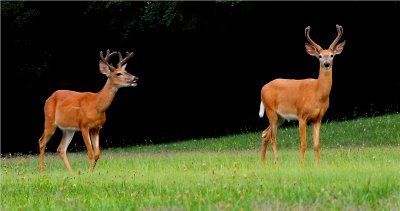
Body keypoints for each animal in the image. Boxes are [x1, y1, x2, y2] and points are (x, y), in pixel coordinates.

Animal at [258, 24, 346, 166]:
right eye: (320, 56)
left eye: (332, 55)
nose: (327, 64)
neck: (317, 93)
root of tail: (263, 88)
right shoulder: (302, 115)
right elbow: (303, 144)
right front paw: (302, 164)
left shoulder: (318, 118)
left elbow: (316, 144)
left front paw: (317, 165)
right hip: (270, 111)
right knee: (272, 137)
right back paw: (277, 162)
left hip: (280, 117)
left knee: (265, 133)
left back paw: (263, 162)